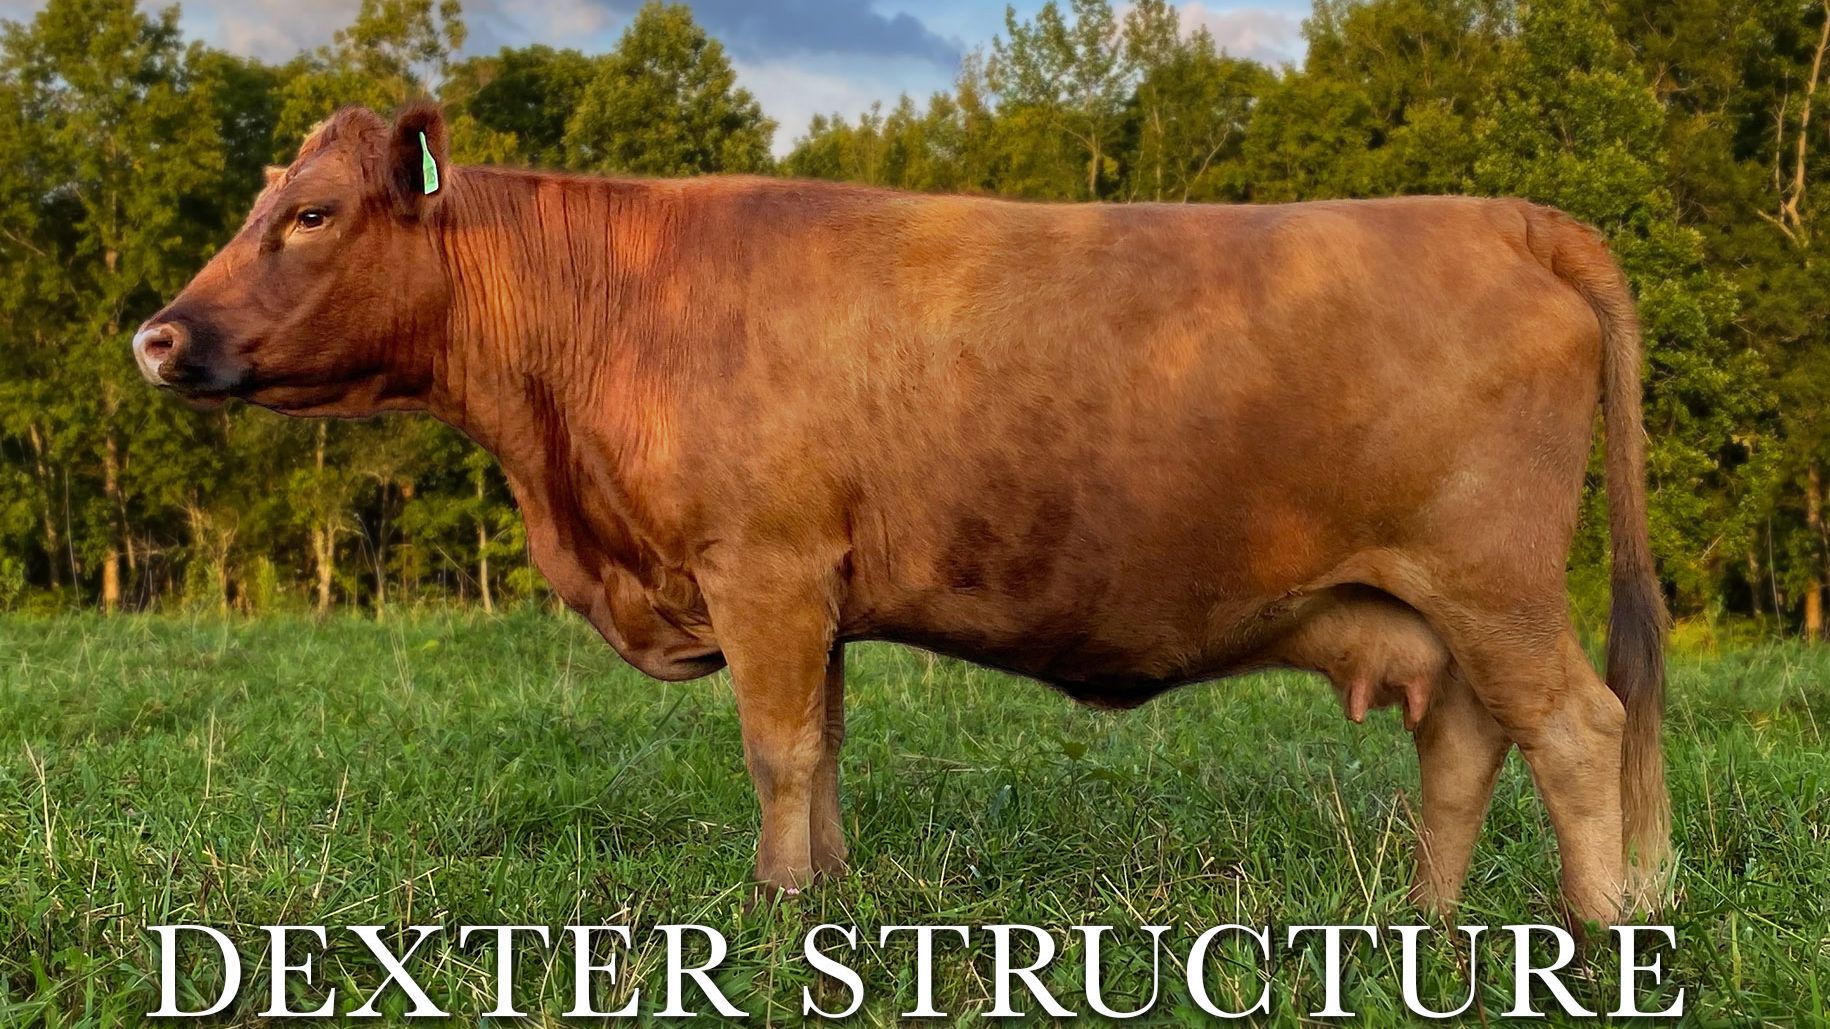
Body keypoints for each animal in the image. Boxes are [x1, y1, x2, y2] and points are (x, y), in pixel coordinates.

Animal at [133, 103, 1670, 926]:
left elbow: (772, 749)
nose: (157, 337)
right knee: (1466, 739)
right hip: (1442, 601)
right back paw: (1423, 920)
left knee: (1582, 728)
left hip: (1495, 581)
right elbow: (821, 749)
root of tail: (1498, 214)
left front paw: (772, 906)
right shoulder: (811, 590)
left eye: (312, 213)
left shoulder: (757, 567)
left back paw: (1595, 930)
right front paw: (826, 893)